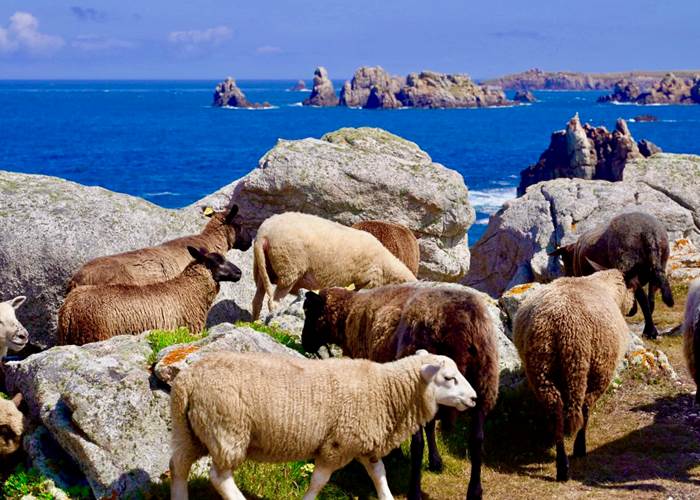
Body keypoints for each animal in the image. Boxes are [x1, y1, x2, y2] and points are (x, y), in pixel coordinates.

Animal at [169, 350, 477, 500]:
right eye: (449, 378)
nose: (474, 398)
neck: (386, 390)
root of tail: (187, 380)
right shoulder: (337, 444)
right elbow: (319, 481)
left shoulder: (364, 442)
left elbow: (379, 475)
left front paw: (387, 497)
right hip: (227, 430)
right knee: (220, 477)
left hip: (189, 431)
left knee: (178, 466)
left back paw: (179, 498)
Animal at [251, 212, 417, 320]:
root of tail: (263, 234)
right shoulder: (366, 282)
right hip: (289, 266)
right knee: (273, 302)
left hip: (263, 268)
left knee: (257, 300)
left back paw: (255, 323)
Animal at [301, 283, 499, 500]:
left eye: (308, 311)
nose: (304, 343)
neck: (348, 317)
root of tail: (459, 324)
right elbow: (430, 426)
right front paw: (436, 461)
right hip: (483, 384)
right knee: (477, 440)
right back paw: (475, 491)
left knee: (418, 444)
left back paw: (414, 491)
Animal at [512, 268, 635, 481]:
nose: (634, 308)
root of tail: (568, 330)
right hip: (598, 367)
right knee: (584, 406)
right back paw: (578, 450)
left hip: (541, 367)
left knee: (556, 410)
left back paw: (562, 465)